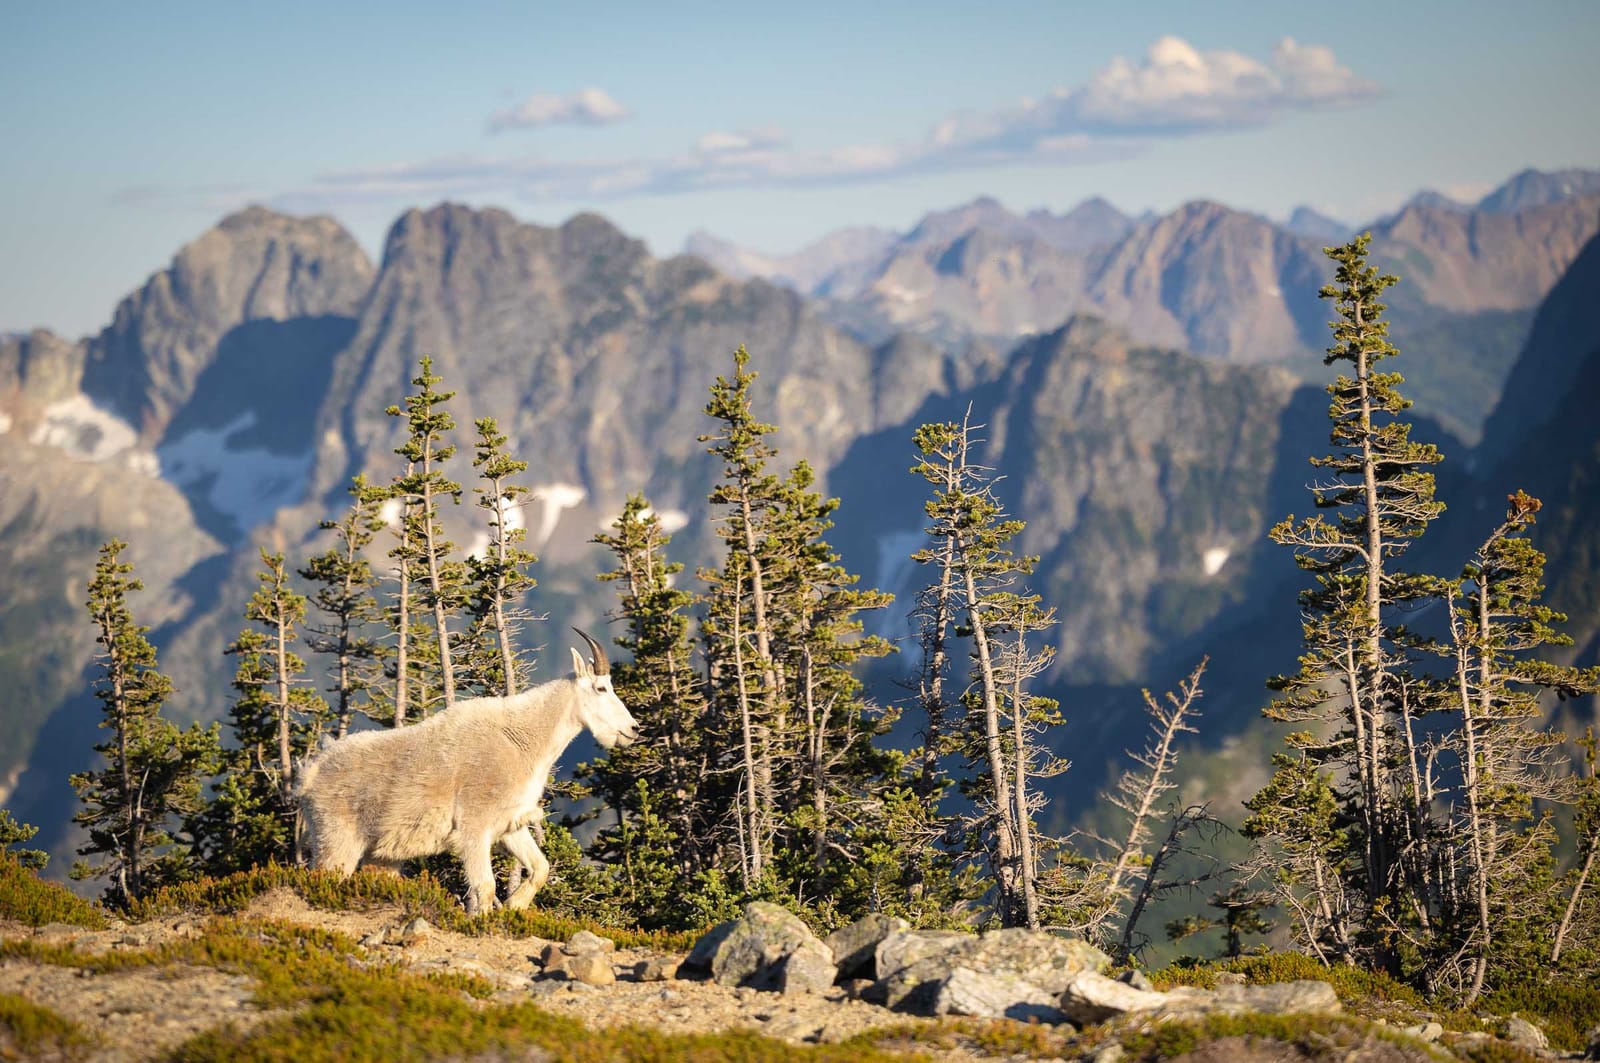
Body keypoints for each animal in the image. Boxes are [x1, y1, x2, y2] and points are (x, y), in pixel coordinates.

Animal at [296, 629, 638, 913]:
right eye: (601, 688)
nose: (633, 729)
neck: (522, 739)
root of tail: (309, 776)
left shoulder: (509, 824)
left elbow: (540, 867)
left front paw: (513, 906)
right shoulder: (474, 827)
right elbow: (485, 886)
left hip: (381, 853)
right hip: (336, 838)